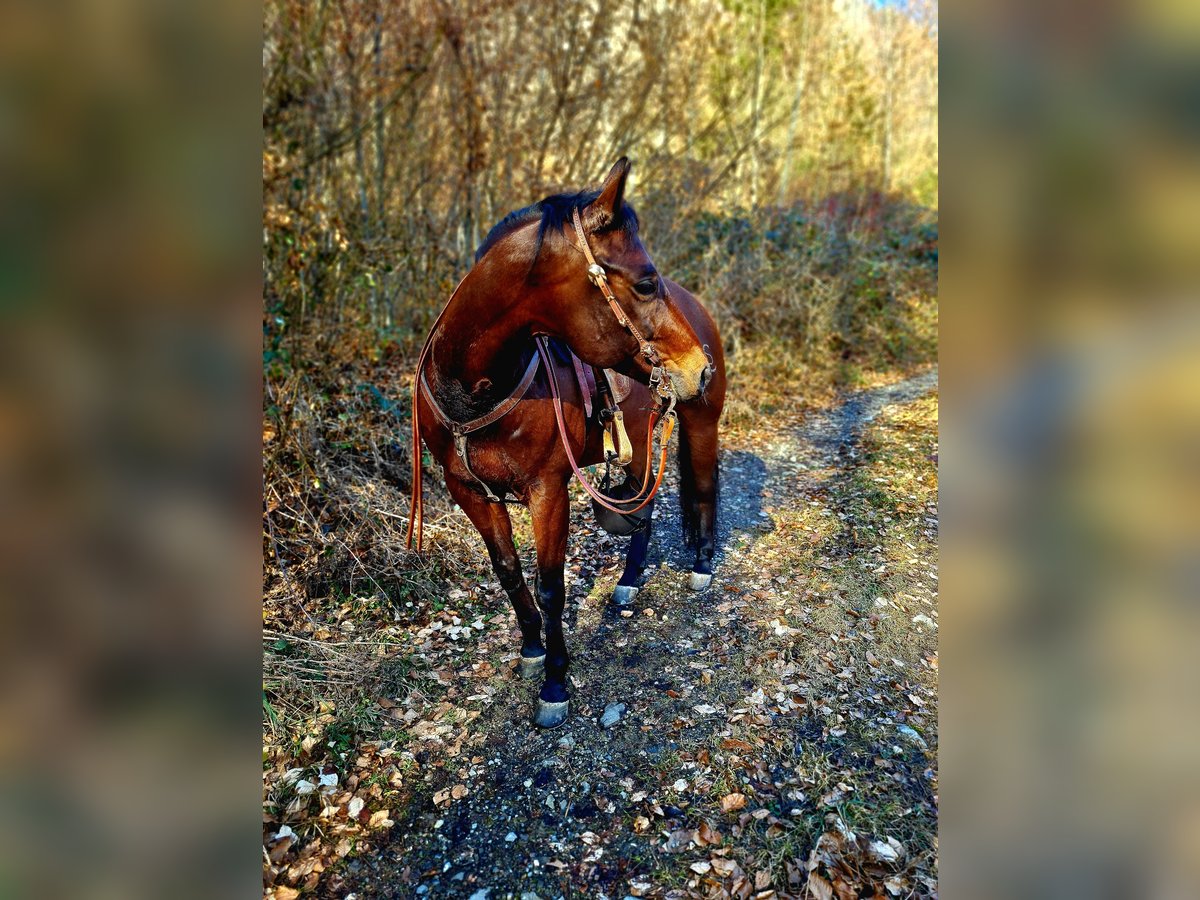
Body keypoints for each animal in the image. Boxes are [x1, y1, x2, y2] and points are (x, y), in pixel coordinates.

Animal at [405, 158, 720, 729]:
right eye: (646, 283)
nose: (698, 368)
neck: (473, 387)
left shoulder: (547, 490)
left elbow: (552, 586)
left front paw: (555, 682)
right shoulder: (469, 491)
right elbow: (508, 571)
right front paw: (532, 648)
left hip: (701, 424)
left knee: (704, 488)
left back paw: (702, 567)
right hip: (640, 450)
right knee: (644, 507)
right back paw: (630, 579)